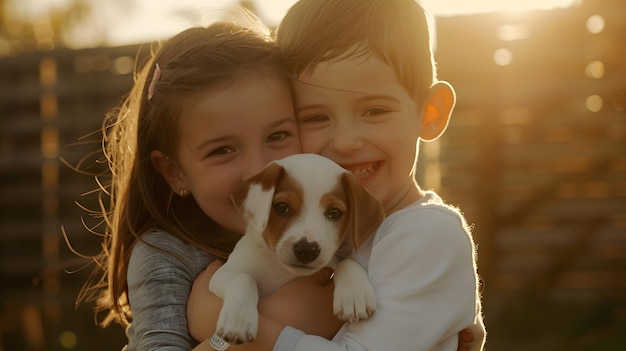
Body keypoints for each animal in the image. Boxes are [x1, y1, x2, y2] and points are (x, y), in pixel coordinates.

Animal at [210, 155, 382, 346]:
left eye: (334, 213)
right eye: (282, 207)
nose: (307, 249)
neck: (281, 270)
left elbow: (345, 262)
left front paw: (354, 294)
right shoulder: (222, 273)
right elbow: (243, 278)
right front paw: (239, 318)